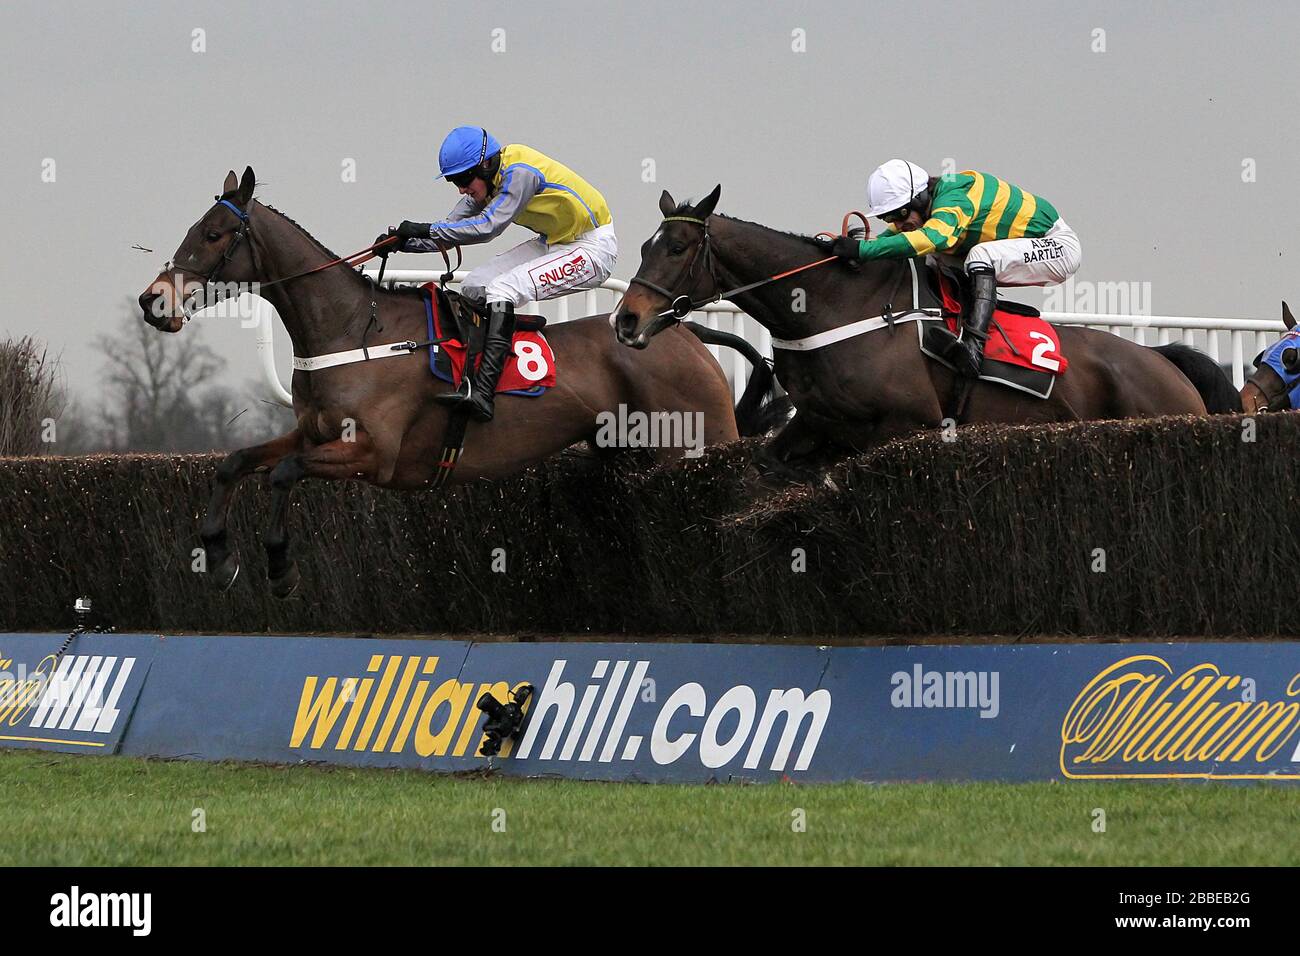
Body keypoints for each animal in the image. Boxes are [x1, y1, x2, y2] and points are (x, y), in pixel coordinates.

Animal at [139, 167, 769, 595]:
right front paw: (219, 558)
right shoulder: (314, 433)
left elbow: (285, 473)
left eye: (215, 234)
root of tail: (682, 332)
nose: (152, 301)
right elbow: (236, 462)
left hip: (698, 439)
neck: (353, 327)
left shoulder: (374, 454)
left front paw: (279, 567)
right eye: (195, 227)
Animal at [613, 184, 1232, 476]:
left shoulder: (909, 424)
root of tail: (1164, 362)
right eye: (644, 246)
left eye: (677, 247)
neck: (834, 307)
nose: (626, 320)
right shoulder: (816, 419)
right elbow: (769, 460)